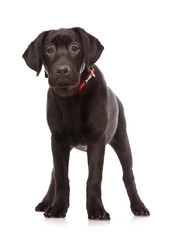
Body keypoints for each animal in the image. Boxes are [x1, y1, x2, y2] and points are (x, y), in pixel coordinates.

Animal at [22, 26, 150, 219]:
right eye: (49, 50)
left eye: (75, 48)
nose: (62, 70)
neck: (71, 98)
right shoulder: (57, 140)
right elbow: (60, 177)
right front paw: (57, 207)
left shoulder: (96, 140)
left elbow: (94, 178)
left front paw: (96, 210)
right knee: (54, 174)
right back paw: (46, 202)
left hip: (122, 141)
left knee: (128, 175)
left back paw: (138, 206)